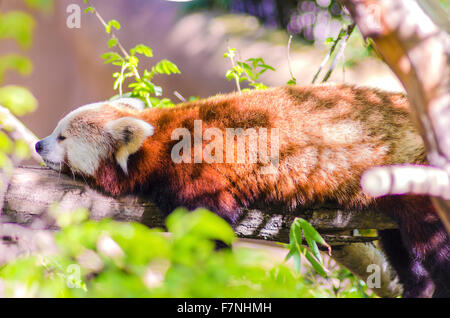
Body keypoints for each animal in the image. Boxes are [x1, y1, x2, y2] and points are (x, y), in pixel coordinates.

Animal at [36, 84, 450, 298]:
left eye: (62, 137)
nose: (38, 145)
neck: (160, 141)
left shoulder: (202, 170)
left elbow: (209, 229)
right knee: (399, 244)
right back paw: (418, 288)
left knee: (432, 242)